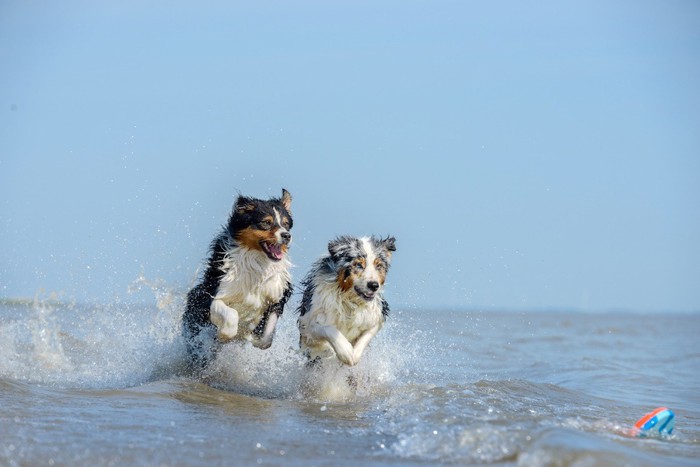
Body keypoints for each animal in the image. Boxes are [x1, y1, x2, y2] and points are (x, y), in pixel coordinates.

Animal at [183, 188, 292, 372]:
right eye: (266, 222)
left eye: (285, 223)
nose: (286, 236)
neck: (257, 261)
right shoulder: (216, 294)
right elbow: (231, 315)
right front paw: (225, 334)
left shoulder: (278, 296)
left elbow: (266, 338)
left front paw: (252, 336)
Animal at [296, 236, 394, 368]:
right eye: (358, 265)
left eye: (378, 266)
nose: (374, 285)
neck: (349, 300)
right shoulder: (309, 321)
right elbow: (328, 329)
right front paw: (345, 352)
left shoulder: (377, 315)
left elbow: (366, 336)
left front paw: (354, 355)